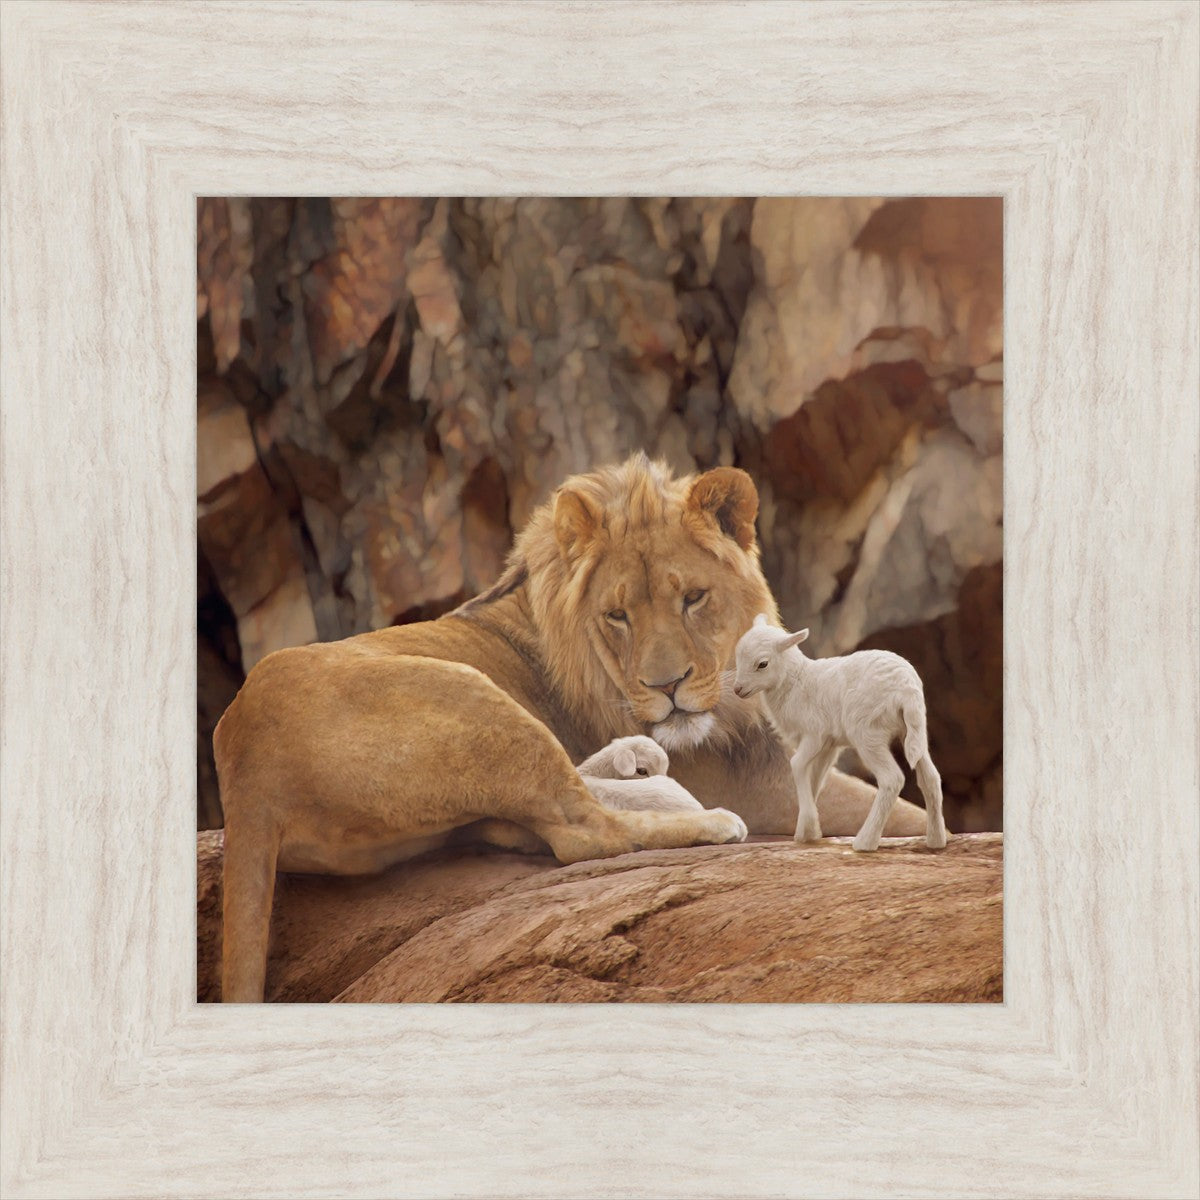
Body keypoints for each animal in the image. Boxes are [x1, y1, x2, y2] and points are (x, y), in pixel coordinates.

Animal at [732, 615, 948, 852]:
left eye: (762, 664)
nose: (737, 689)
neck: (795, 682)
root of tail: (907, 689)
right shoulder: (829, 745)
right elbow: (815, 778)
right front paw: (807, 831)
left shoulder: (814, 734)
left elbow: (797, 765)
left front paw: (808, 827)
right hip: (914, 731)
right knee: (931, 778)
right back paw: (936, 840)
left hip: (867, 733)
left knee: (892, 779)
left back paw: (865, 842)